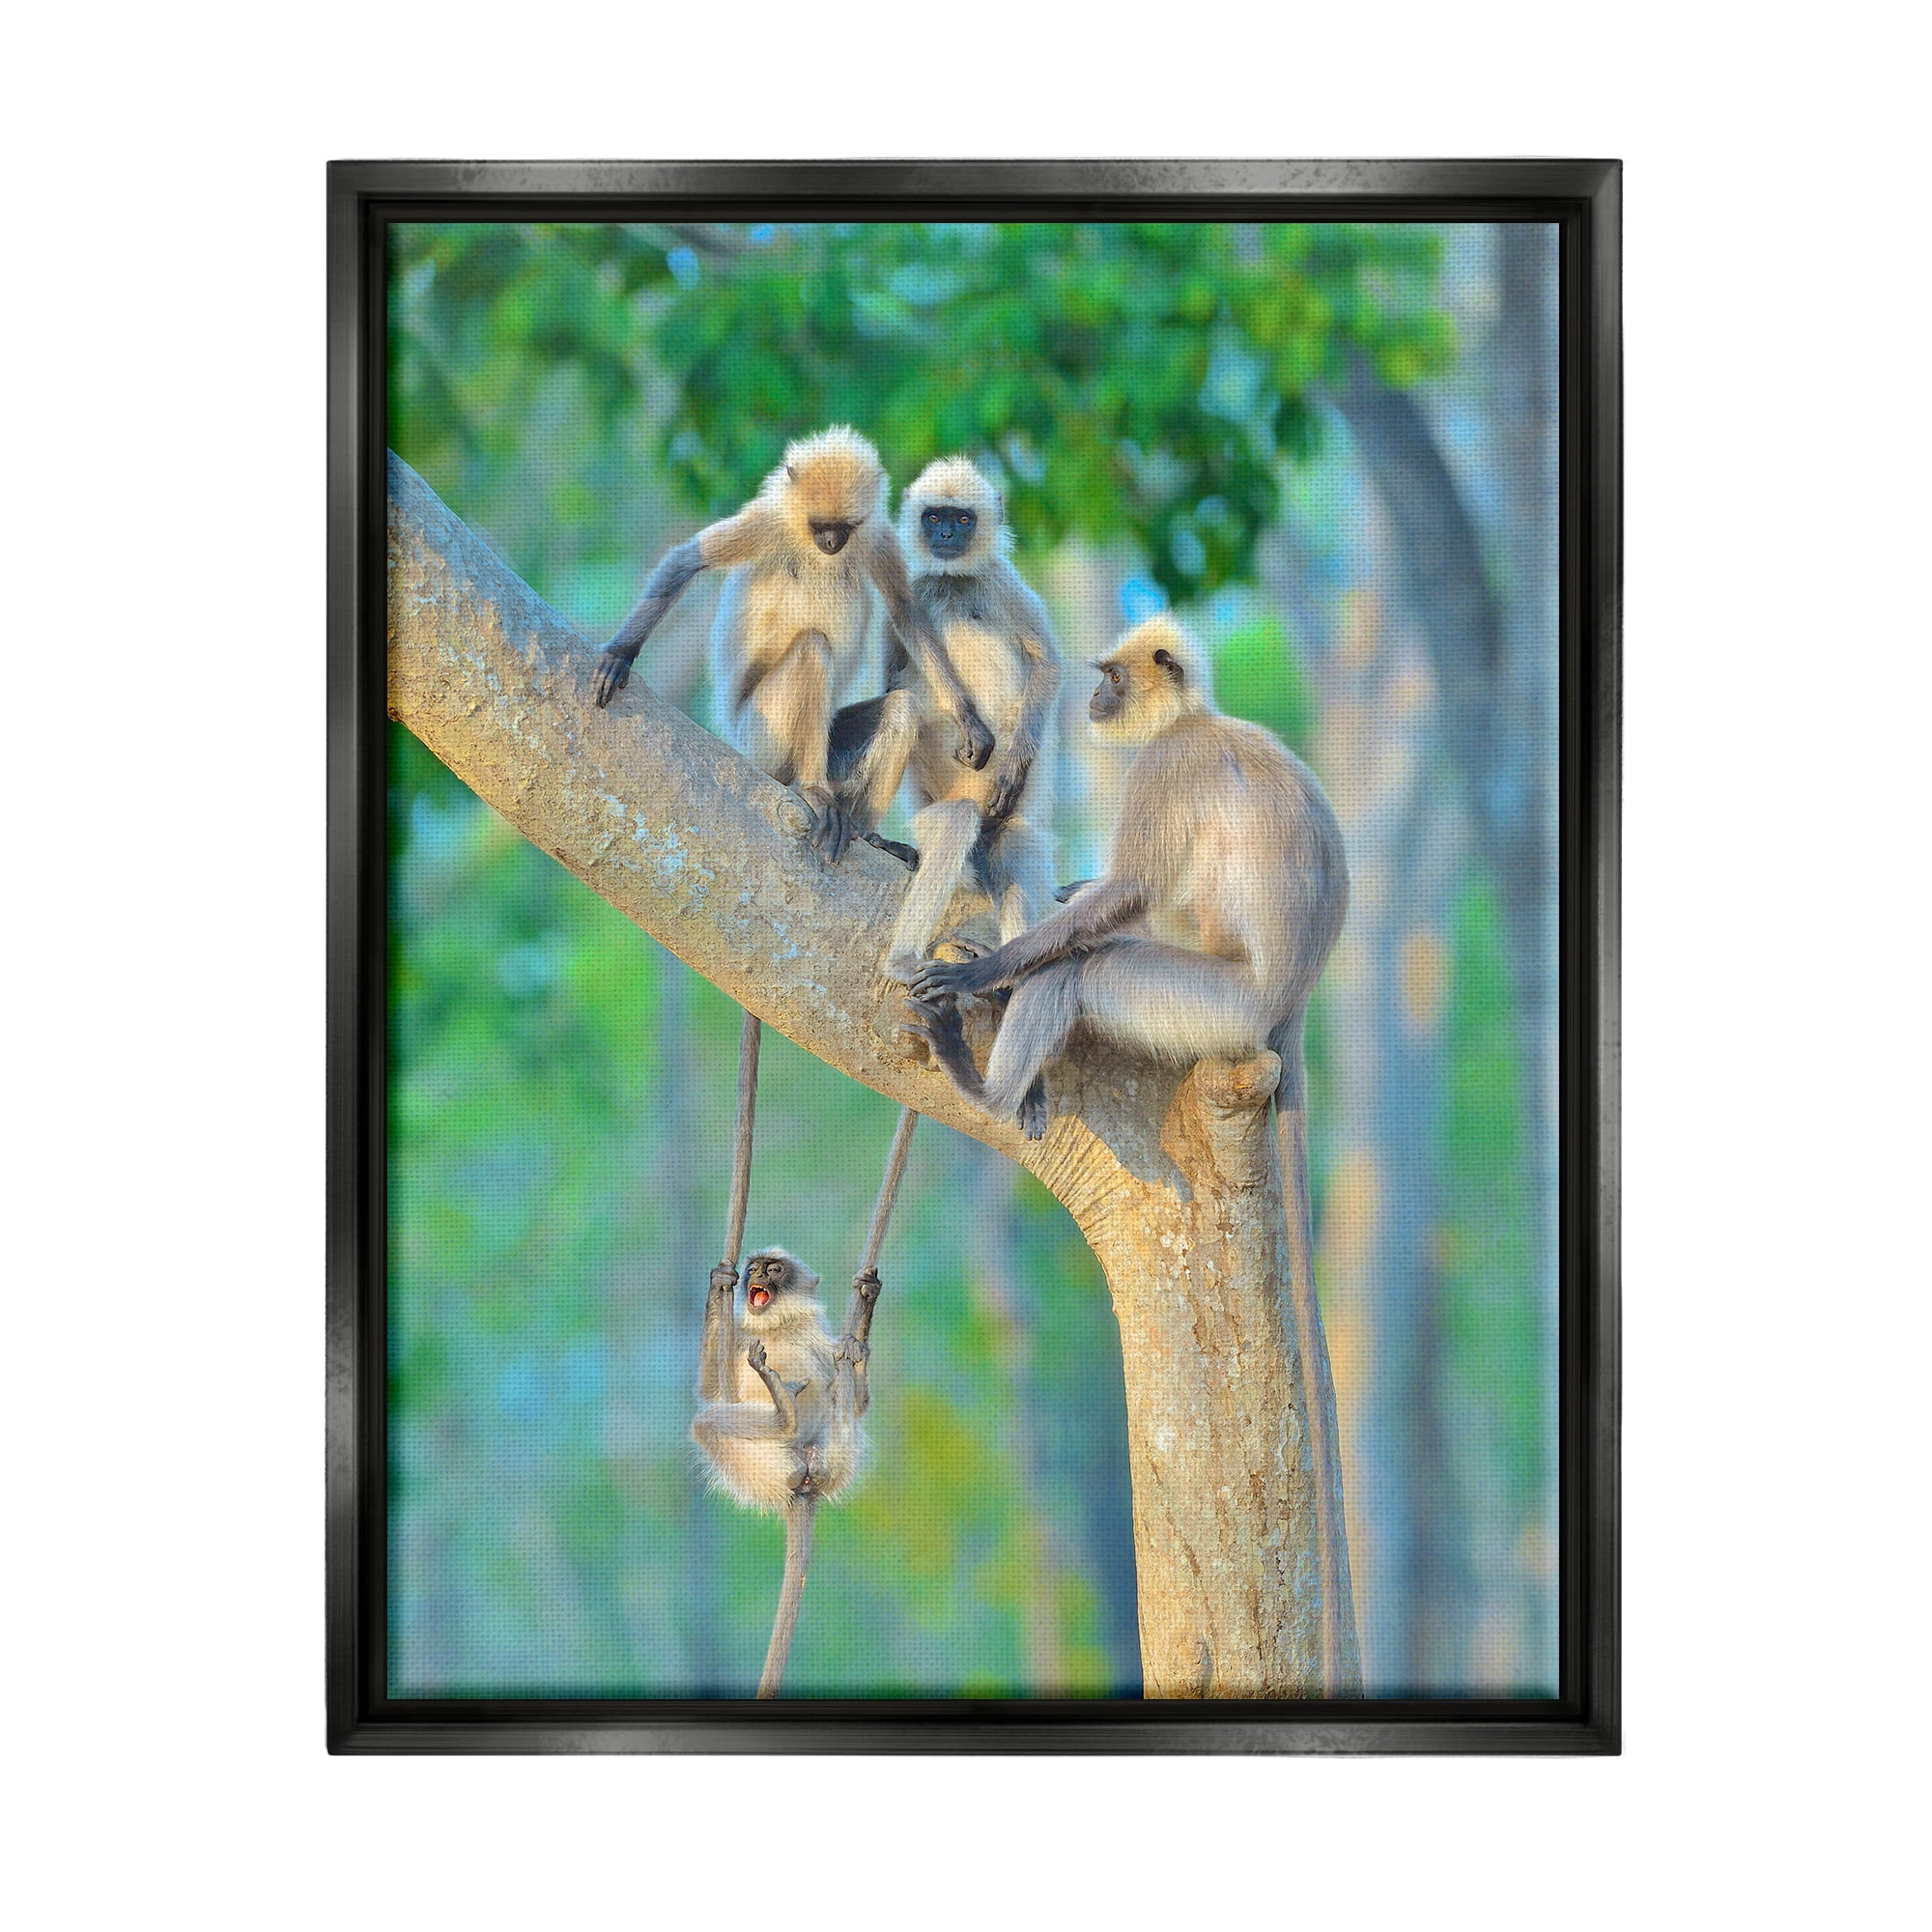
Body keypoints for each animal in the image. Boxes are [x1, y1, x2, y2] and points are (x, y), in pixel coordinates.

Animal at [591, 425, 993, 862]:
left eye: (845, 527)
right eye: (819, 526)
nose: (832, 542)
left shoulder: (876, 534)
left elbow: (907, 613)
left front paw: (968, 719)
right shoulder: (767, 521)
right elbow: (686, 561)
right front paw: (620, 654)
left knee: (903, 707)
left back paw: (867, 833)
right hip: (759, 737)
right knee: (813, 649)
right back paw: (812, 789)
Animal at [693, 1246, 882, 1698]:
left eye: (774, 1269)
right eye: (753, 1268)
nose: (756, 1274)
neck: (776, 1327)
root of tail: (805, 1480)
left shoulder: (818, 1338)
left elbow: (859, 1402)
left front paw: (866, 1303)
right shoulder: (741, 1339)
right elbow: (710, 1391)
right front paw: (718, 1282)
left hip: (833, 1455)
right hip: (764, 1466)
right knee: (709, 1425)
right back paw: (783, 1418)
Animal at [824, 456, 1060, 974]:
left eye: (962, 519)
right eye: (934, 517)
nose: (947, 535)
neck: (955, 581)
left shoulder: (1001, 580)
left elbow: (1047, 664)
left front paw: (1013, 766)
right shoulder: (915, 591)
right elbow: (895, 678)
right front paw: (969, 725)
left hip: (1004, 821)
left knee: (1016, 851)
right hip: (937, 813)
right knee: (954, 825)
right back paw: (902, 956)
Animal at [902, 612, 1357, 1692]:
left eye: (1110, 676)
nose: (1098, 697)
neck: (1195, 718)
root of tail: (1288, 1005)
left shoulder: (1166, 765)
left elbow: (1131, 894)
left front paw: (985, 970)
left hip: (1207, 1005)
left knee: (1089, 968)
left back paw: (986, 1079)